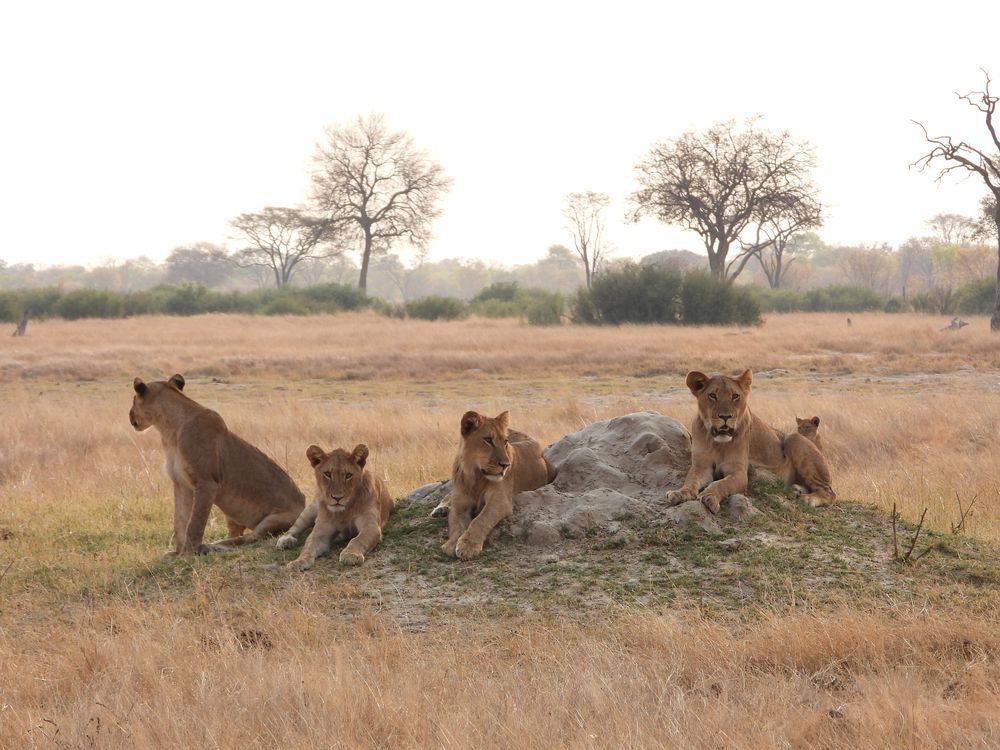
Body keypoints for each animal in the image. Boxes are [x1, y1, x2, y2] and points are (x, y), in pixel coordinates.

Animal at [130, 374, 305, 556]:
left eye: (133, 400)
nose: (130, 416)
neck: (169, 431)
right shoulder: (181, 483)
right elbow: (180, 521)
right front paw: (177, 553)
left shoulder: (207, 483)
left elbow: (195, 523)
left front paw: (188, 553)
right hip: (231, 516)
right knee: (237, 534)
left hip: (275, 520)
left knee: (248, 539)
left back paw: (211, 546)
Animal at [441, 411, 555, 560]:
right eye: (488, 440)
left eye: (505, 442)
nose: (506, 465)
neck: (475, 476)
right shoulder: (459, 503)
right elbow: (456, 524)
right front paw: (451, 543)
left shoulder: (500, 501)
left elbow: (481, 519)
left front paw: (468, 545)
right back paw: (440, 509)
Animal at [666, 370, 836, 512]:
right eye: (712, 395)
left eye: (735, 396)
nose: (726, 417)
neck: (717, 443)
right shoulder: (701, 466)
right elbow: (690, 481)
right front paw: (679, 493)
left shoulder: (739, 473)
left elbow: (720, 484)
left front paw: (710, 497)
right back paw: (796, 489)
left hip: (794, 438)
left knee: (829, 492)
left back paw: (808, 499)